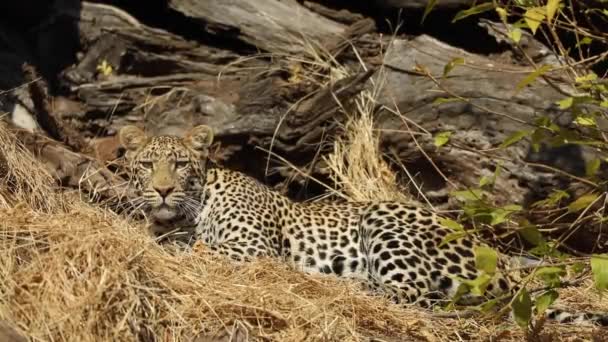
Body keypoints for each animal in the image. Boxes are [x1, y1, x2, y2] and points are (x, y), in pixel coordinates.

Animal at [120, 125, 608, 326]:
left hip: (384, 218)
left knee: (413, 293)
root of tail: (504, 265)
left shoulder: (253, 247)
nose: (162, 190)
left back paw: (340, 282)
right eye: (146, 165)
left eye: (180, 164)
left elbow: (198, 250)